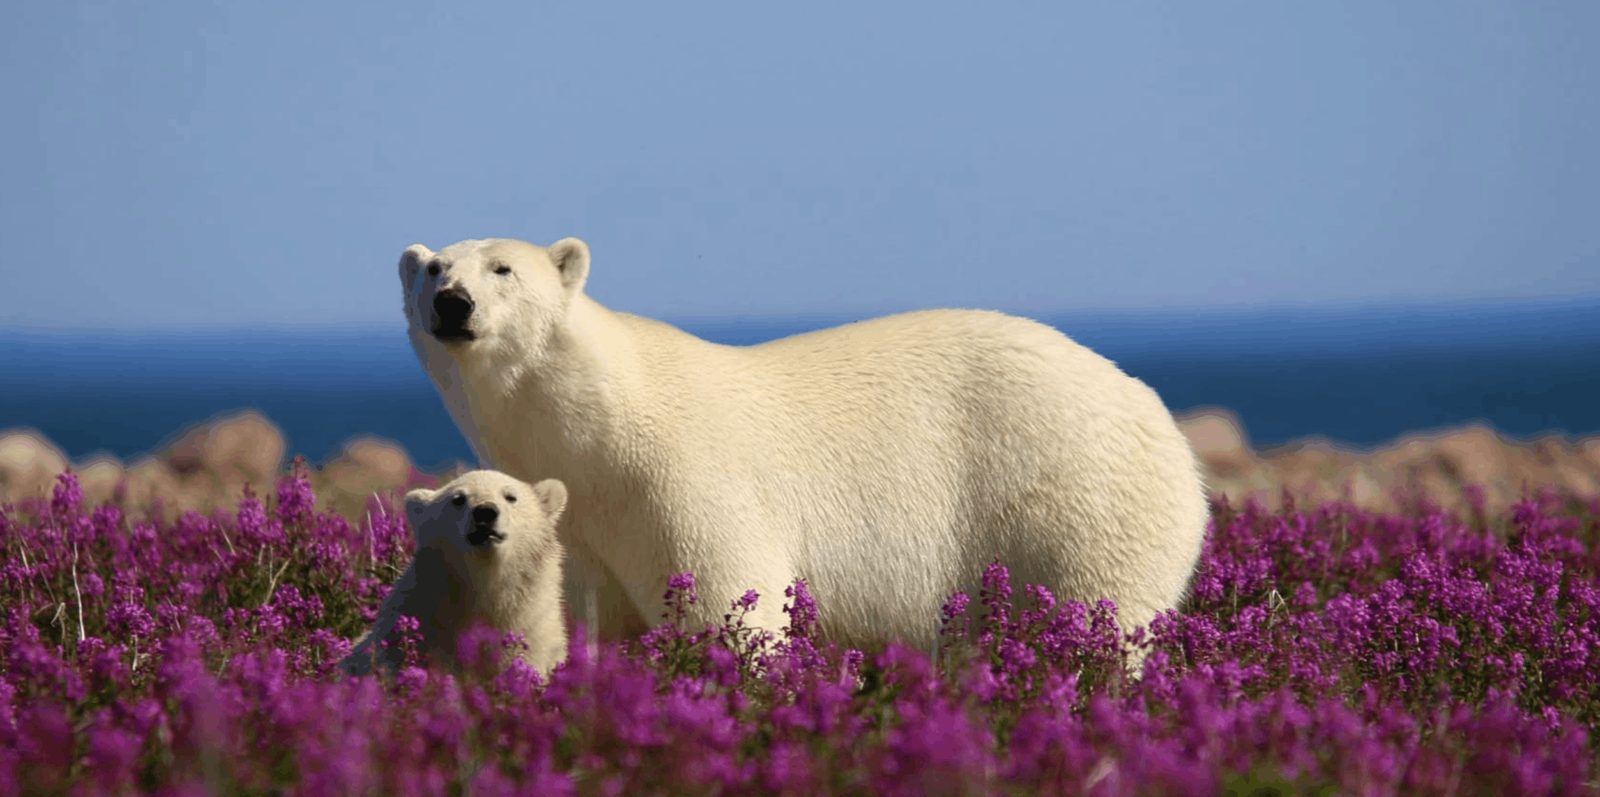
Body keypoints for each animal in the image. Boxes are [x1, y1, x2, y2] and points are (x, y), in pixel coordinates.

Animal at [396, 237, 1208, 650]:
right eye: (433, 269)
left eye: (503, 268)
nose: (453, 303)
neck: (592, 433)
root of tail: (1158, 414)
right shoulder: (576, 524)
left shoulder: (679, 482)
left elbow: (728, 603)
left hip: (1074, 498)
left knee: (1097, 616)